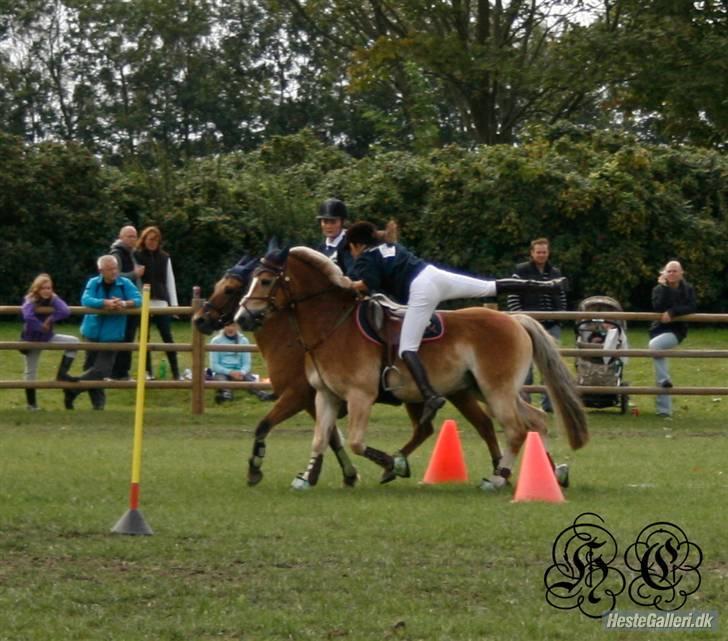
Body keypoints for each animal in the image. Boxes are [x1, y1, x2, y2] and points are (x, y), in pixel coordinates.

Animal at [193, 255, 506, 484]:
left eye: (230, 288)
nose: (200, 320)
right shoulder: (319, 398)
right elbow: (329, 437)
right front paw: (329, 474)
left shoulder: (298, 396)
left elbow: (267, 426)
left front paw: (257, 469)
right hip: (443, 392)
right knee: (438, 427)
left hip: (452, 392)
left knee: (477, 424)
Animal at [236, 248, 588, 488]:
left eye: (265, 280)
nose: (242, 318)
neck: (330, 326)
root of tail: (514, 320)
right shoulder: (325, 396)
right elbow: (321, 439)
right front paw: (307, 477)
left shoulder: (359, 396)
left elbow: (355, 442)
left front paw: (395, 464)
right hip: (486, 389)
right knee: (535, 421)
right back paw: (549, 473)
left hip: (495, 390)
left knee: (515, 429)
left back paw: (498, 478)